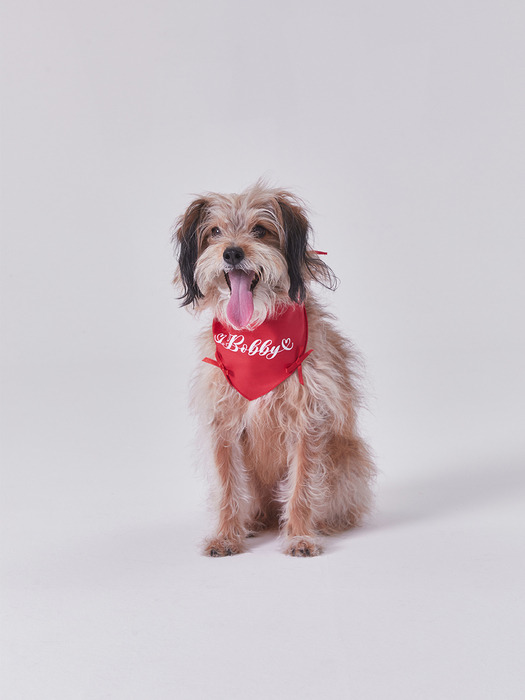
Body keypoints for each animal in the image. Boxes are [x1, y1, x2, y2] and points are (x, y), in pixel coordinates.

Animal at [174, 182, 374, 556]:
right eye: (215, 232)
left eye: (260, 230)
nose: (232, 253)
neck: (257, 330)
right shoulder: (222, 423)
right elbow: (227, 487)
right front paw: (226, 536)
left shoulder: (308, 420)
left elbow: (302, 486)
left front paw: (299, 536)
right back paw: (250, 524)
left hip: (345, 459)